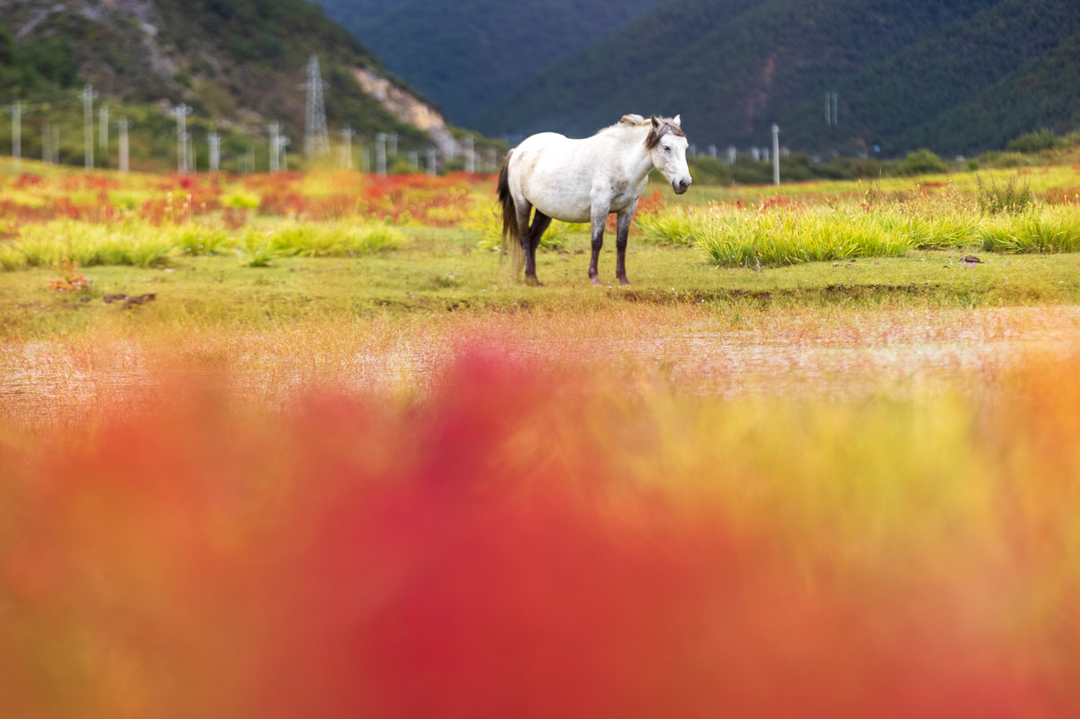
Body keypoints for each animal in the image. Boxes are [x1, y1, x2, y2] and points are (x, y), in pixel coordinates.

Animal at [496, 115, 691, 285]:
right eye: (666, 147)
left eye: (685, 147)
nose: (685, 183)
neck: (622, 161)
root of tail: (517, 151)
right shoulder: (600, 206)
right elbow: (596, 242)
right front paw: (595, 278)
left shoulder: (628, 209)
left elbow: (621, 243)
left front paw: (623, 279)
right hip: (522, 204)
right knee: (524, 238)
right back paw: (530, 277)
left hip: (544, 211)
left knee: (533, 239)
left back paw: (533, 279)